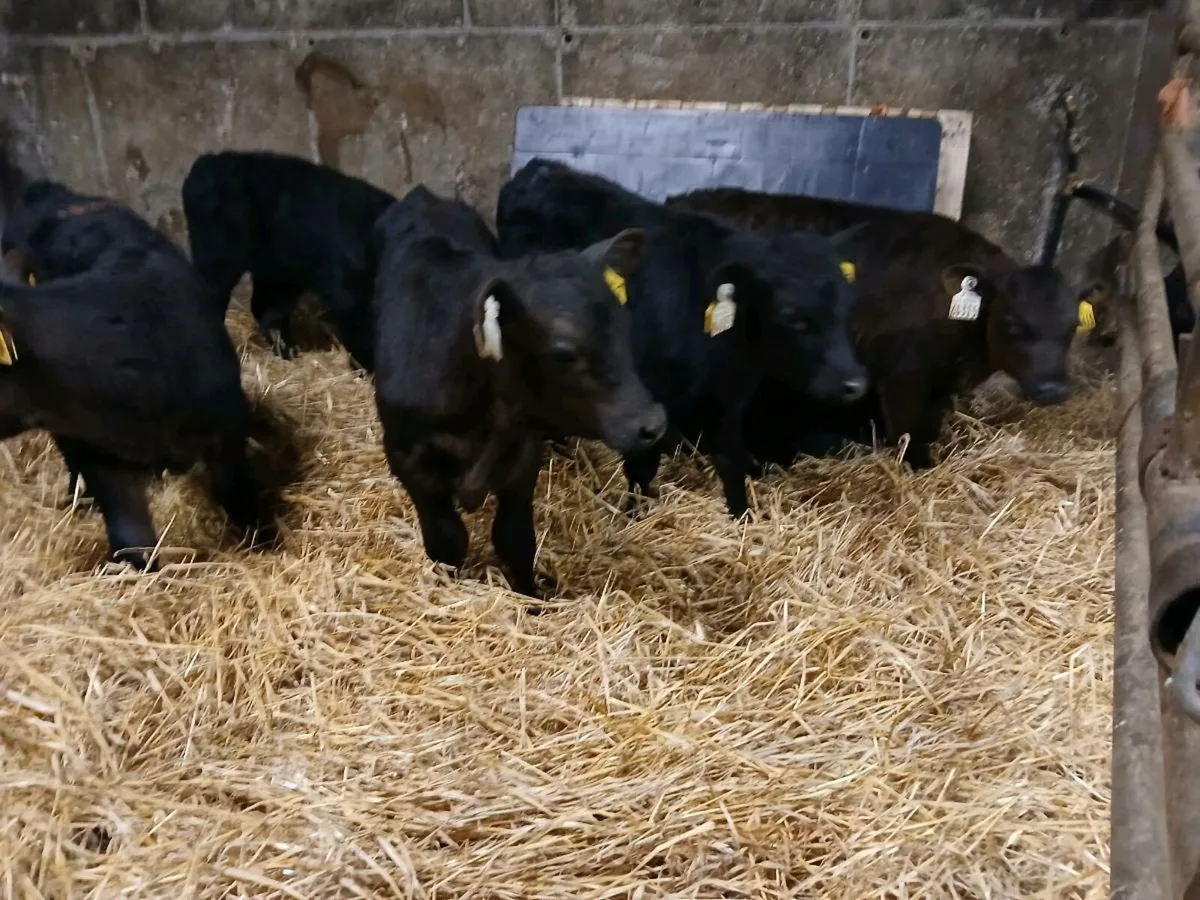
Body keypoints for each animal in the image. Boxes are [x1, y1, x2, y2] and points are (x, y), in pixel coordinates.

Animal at [182, 150, 396, 370]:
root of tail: (208, 161)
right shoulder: (348, 291)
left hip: (276, 271)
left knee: (266, 308)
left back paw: (288, 353)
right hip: (217, 256)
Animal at [371, 184, 667, 597]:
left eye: (624, 325)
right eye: (564, 351)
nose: (653, 423)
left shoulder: (524, 453)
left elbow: (515, 539)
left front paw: (533, 597)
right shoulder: (407, 457)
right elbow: (447, 540)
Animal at [495, 159, 869, 517]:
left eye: (848, 306)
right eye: (792, 317)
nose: (855, 384)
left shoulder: (729, 402)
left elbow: (730, 460)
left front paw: (742, 515)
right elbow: (643, 464)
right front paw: (634, 515)